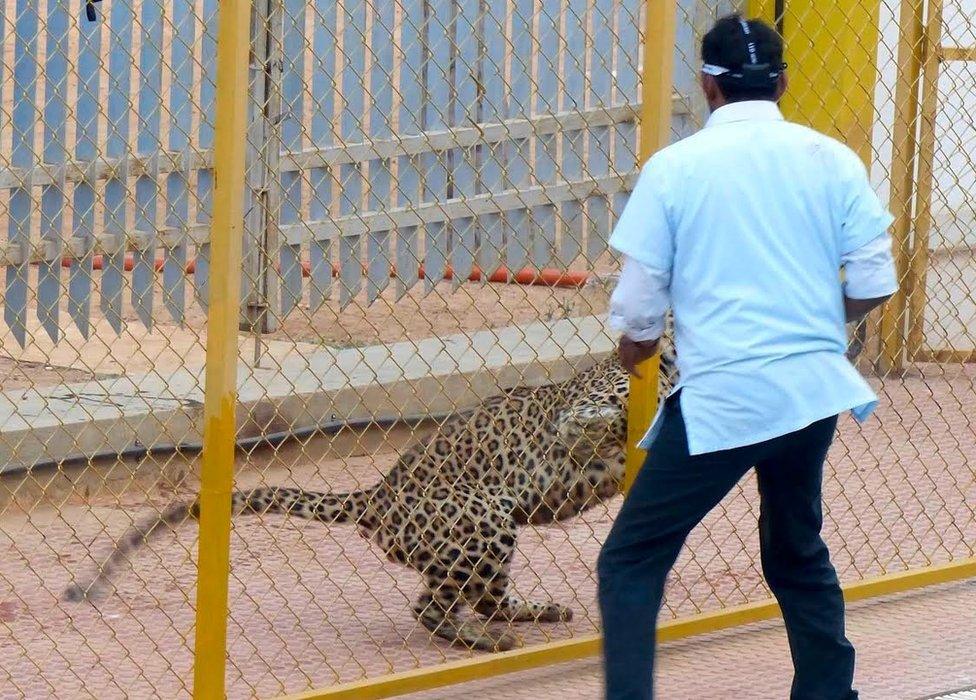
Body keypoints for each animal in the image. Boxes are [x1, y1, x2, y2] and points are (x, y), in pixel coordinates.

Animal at [66, 336, 680, 652]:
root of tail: (376, 496)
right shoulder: (585, 412)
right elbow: (603, 417)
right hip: (485, 517)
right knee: (436, 605)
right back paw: (485, 639)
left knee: (475, 597)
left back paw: (535, 612)